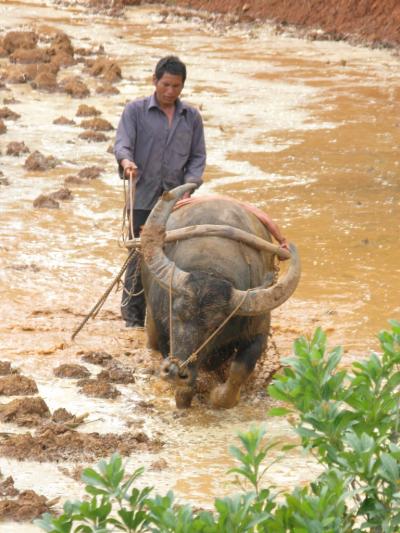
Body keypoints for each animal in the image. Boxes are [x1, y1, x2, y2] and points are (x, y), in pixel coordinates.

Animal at [141, 183, 300, 408]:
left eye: (216, 326)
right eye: (176, 313)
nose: (174, 371)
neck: (212, 266)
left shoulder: (258, 333)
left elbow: (238, 372)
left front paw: (219, 397)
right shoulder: (165, 332)